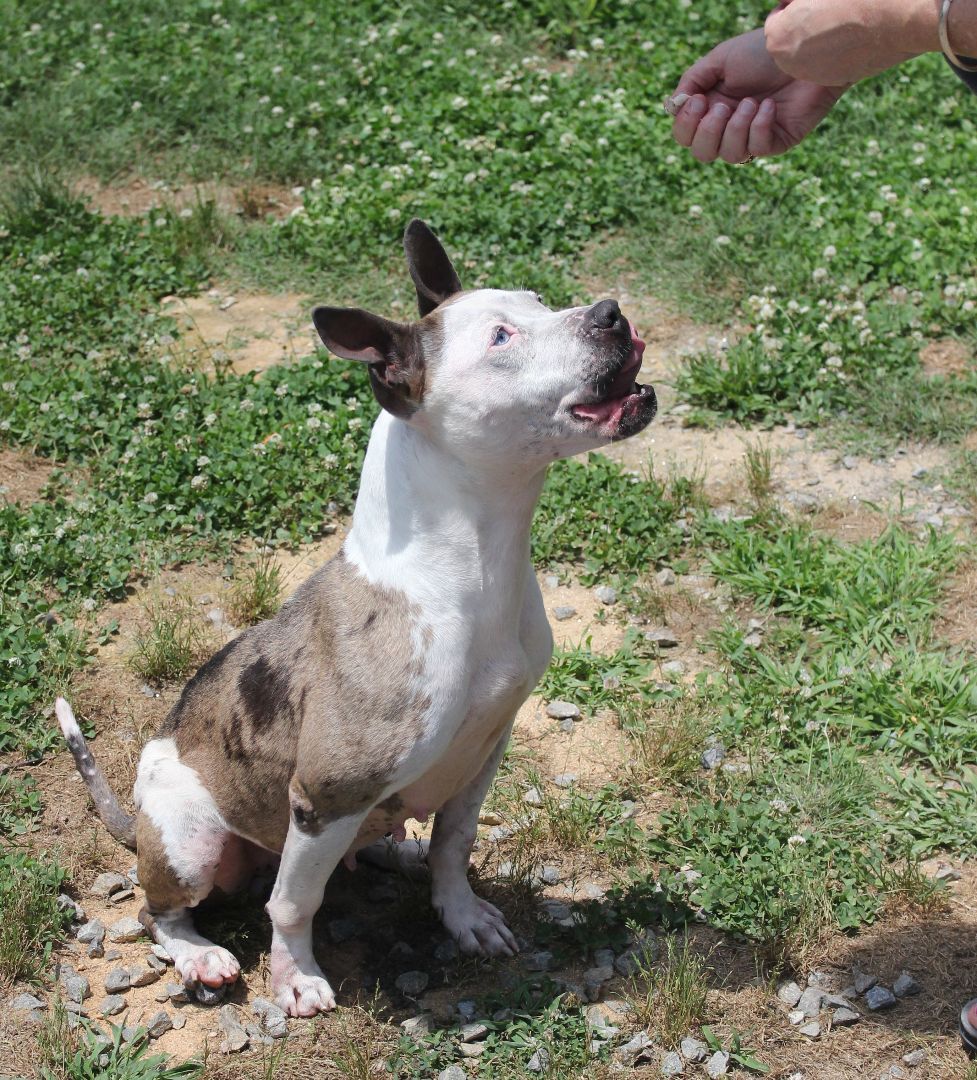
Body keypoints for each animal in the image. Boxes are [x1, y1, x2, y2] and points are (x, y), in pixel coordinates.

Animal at [57, 217, 660, 1010]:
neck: (463, 570)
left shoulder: (484, 750)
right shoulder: (326, 794)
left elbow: (454, 845)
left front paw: (459, 914)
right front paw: (295, 975)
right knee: (161, 910)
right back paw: (201, 954)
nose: (611, 313)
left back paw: (395, 853)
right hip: (189, 843)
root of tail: (135, 823)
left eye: (537, 300)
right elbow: (293, 903)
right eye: (501, 337)